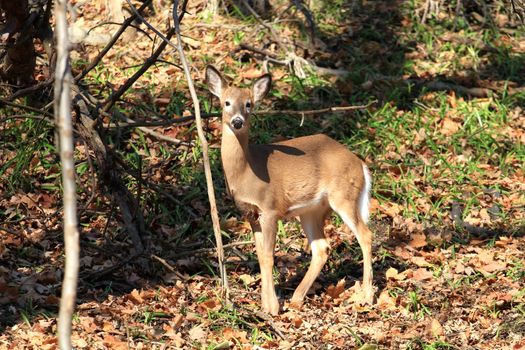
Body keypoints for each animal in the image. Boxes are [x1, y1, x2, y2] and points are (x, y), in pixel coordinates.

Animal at [205, 65, 372, 314]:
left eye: (249, 104)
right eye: (226, 102)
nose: (237, 121)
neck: (247, 170)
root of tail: (360, 164)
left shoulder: (270, 207)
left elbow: (269, 255)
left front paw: (272, 308)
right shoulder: (251, 213)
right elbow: (260, 255)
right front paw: (265, 305)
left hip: (344, 195)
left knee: (365, 235)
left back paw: (367, 297)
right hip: (312, 210)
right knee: (321, 247)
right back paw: (296, 298)